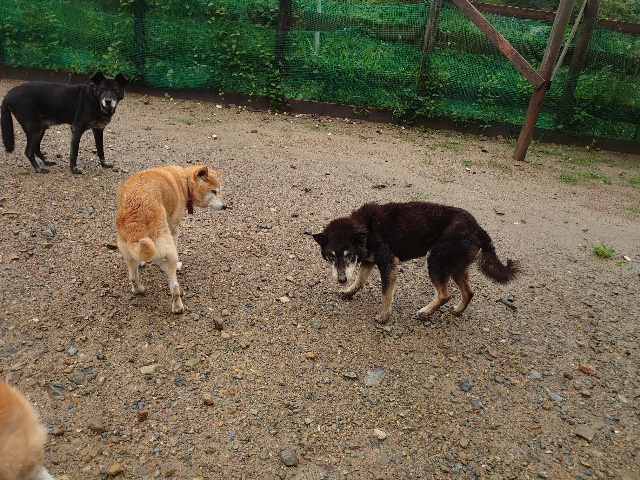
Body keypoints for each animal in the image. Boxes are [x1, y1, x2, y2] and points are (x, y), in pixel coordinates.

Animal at [1, 71, 130, 174]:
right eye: (102, 88)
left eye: (115, 90)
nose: (108, 101)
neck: (94, 100)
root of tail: (9, 93)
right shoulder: (76, 129)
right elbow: (74, 152)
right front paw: (74, 169)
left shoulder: (98, 129)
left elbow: (100, 149)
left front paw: (104, 163)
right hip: (34, 128)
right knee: (28, 151)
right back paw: (38, 169)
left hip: (41, 128)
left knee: (36, 148)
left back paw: (46, 161)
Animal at [116, 165, 226, 313]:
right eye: (214, 191)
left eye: (219, 191)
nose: (225, 206)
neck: (184, 183)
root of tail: (135, 216)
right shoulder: (174, 229)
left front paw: (142, 262)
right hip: (167, 248)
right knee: (174, 286)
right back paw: (178, 306)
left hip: (126, 249)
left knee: (132, 276)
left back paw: (138, 289)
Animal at [313, 201, 519, 323]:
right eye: (331, 256)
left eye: (349, 255)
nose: (341, 279)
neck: (365, 228)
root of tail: (478, 229)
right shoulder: (369, 261)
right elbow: (359, 280)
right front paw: (348, 292)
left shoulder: (388, 263)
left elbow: (386, 294)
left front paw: (384, 316)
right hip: (454, 266)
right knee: (469, 292)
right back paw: (458, 310)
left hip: (436, 260)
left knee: (445, 294)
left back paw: (426, 312)